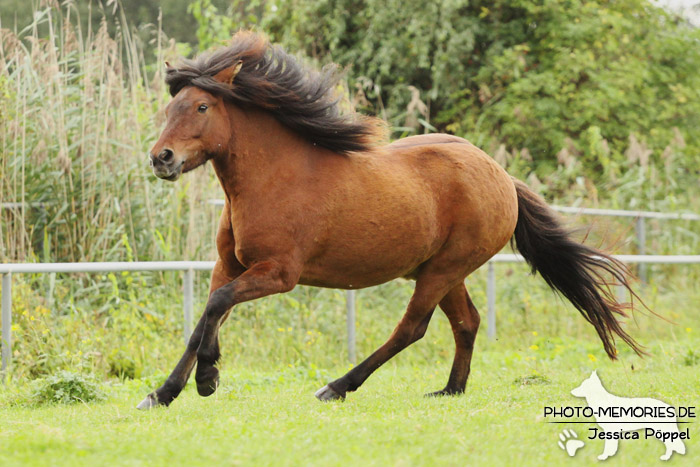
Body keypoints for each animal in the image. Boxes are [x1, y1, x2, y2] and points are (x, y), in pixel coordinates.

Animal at [135, 31, 640, 410]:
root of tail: (501, 176)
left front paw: (207, 378)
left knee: (412, 328)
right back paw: (450, 390)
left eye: (202, 107)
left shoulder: (279, 273)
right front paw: (164, 393)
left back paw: (336, 387)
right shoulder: (231, 266)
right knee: (467, 322)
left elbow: (217, 307)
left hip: (442, 271)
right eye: (170, 108)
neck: (271, 180)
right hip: (443, 271)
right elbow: (204, 317)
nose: (161, 158)